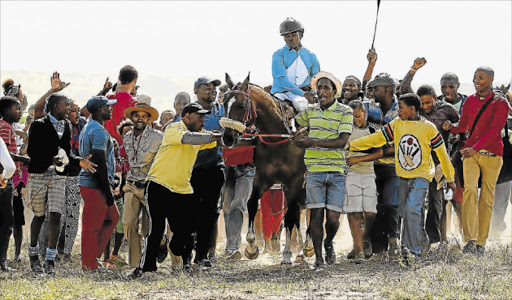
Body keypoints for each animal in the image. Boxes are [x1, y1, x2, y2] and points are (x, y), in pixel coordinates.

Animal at [220, 73, 312, 264]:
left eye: (241, 105)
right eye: (224, 103)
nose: (227, 138)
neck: (279, 138)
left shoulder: (295, 181)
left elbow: (289, 216)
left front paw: (287, 254)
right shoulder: (264, 179)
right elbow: (252, 204)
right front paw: (251, 247)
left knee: (306, 209)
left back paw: (306, 247)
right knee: (299, 210)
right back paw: (300, 249)